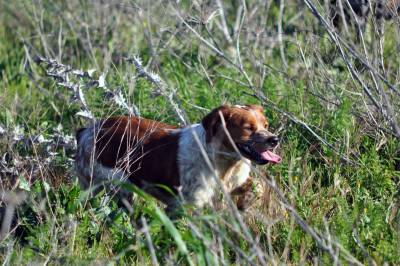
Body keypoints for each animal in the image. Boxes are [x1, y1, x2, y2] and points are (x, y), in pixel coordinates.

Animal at [75, 105, 282, 211]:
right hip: (116, 184)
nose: (274, 140)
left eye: (265, 124)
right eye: (248, 128)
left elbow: (257, 187)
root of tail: (87, 131)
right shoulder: (187, 204)